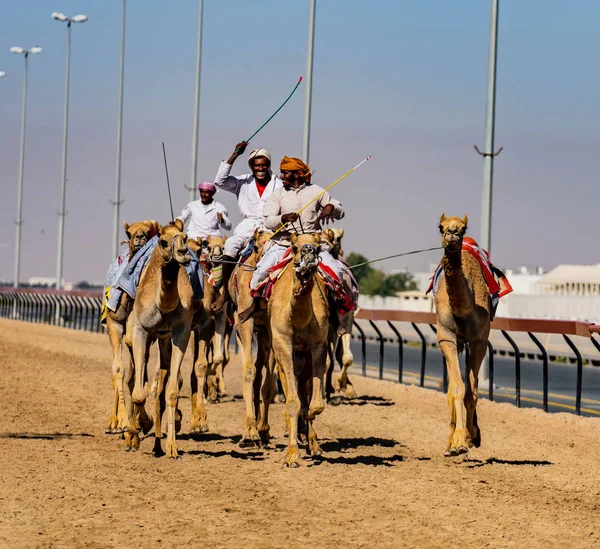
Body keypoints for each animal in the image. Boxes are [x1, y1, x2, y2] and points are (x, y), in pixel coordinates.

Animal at [105, 218, 161, 432]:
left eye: (148, 230)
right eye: (128, 233)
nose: (139, 237)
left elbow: (138, 373)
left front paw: (143, 421)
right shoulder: (114, 324)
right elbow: (118, 369)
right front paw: (121, 421)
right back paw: (114, 422)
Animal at [123, 219, 193, 458]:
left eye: (185, 237)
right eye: (163, 241)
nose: (183, 253)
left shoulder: (181, 332)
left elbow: (171, 391)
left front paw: (172, 448)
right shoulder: (140, 331)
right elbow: (138, 394)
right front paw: (139, 428)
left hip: (163, 341)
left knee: (160, 388)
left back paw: (158, 445)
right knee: (131, 380)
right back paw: (132, 437)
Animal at [270, 231, 330, 466]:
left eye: (319, 247)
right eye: (294, 247)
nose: (308, 251)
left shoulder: (319, 344)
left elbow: (315, 404)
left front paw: (310, 432)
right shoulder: (282, 342)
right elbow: (293, 402)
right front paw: (292, 455)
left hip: (304, 359)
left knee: (306, 392)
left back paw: (313, 443)